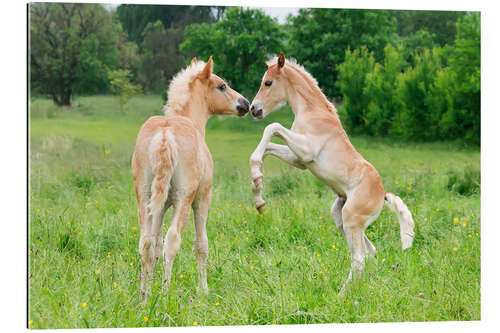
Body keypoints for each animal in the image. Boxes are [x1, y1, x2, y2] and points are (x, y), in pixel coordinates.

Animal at [133, 57, 250, 296]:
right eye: (222, 86)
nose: (245, 104)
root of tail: (165, 135)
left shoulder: (161, 205)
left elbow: (155, 246)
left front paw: (149, 285)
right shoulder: (202, 199)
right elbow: (201, 245)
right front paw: (204, 289)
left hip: (145, 197)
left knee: (146, 242)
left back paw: (144, 295)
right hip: (184, 200)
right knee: (172, 240)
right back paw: (165, 293)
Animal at [249, 53, 414, 292]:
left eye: (268, 82)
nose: (254, 109)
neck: (312, 112)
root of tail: (382, 194)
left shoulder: (306, 150)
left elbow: (272, 127)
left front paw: (256, 180)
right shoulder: (300, 159)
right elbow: (268, 147)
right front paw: (258, 191)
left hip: (351, 218)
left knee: (359, 259)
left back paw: (341, 295)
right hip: (341, 217)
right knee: (369, 252)